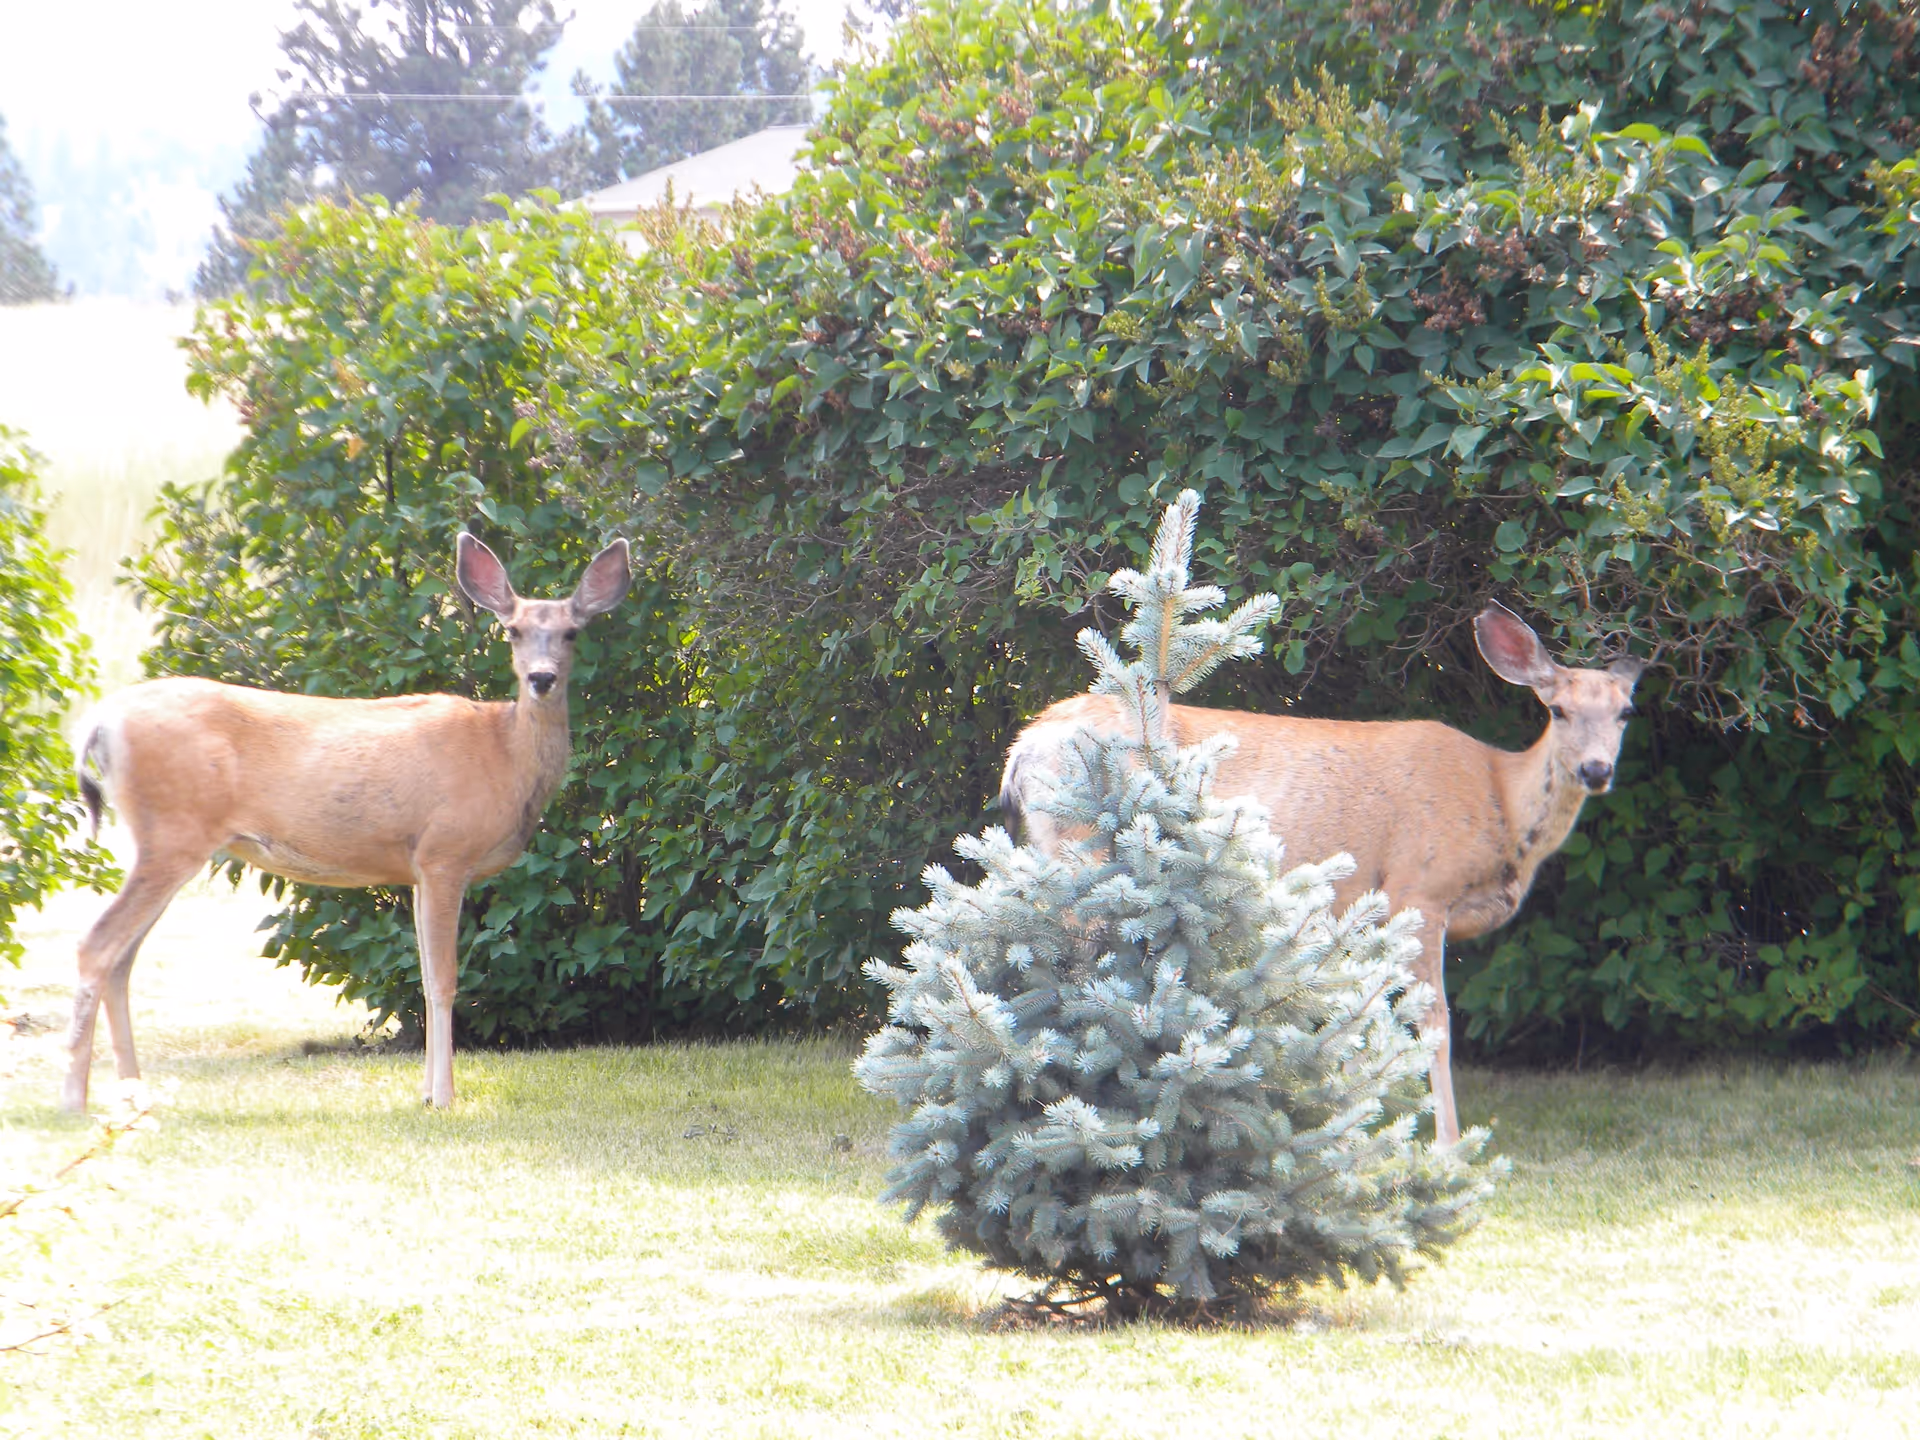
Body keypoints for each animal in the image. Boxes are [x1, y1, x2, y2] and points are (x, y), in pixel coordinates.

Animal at [61, 532, 631, 1115]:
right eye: (513, 630)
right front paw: (444, 1096)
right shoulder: (444, 853)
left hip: (166, 842)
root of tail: (100, 723)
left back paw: (132, 1093)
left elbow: (423, 975)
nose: (542, 677)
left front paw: (425, 1093)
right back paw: (75, 1099)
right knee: (96, 945)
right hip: (172, 835)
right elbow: (445, 980)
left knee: (122, 958)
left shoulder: (417, 869)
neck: (505, 755)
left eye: (571, 631)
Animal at [999, 602, 1644, 1148]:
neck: (1501, 807)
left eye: (1625, 712)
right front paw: (1446, 1145)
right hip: (1086, 847)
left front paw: (1354, 1116)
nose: (1596, 770)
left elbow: (1367, 1016)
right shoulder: (1419, 890)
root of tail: (1023, 746)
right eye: (1559, 710)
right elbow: (1432, 1022)